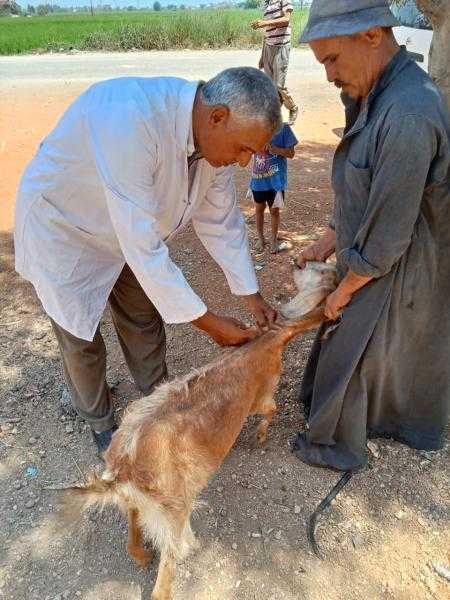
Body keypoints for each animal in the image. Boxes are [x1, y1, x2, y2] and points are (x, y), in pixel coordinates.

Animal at [58, 262, 336, 600]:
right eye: (319, 271)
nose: (298, 262)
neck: (269, 340)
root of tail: (123, 468)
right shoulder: (263, 393)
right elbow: (271, 411)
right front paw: (260, 436)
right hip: (174, 511)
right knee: (163, 578)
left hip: (141, 505)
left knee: (132, 533)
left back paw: (141, 555)